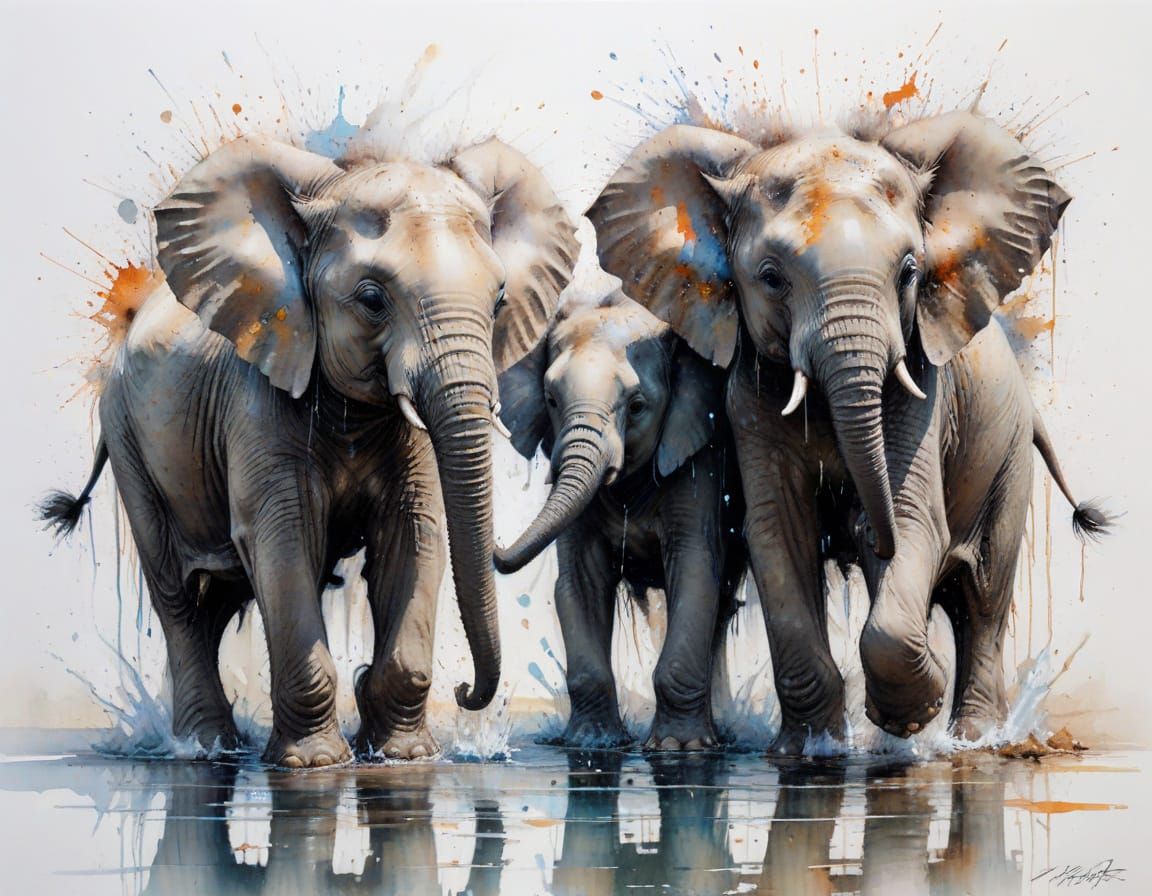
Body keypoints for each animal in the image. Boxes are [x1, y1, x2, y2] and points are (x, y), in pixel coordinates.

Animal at [41, 133, 577, 766]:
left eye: (498, 302)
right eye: (371, 300)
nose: (467, 690)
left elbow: (413, 533)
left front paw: (402, 756)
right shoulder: (257, 394)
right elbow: (284, 535)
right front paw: (315, 763)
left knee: (217, 598)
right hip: (127, 435)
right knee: (176, 594)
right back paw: (205, 748)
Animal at [494, 288, 746, 749]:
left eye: (638, 406)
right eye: (551, 400)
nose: (498, 546)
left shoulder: (699, 459)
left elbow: (694, 569)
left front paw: (677, 749)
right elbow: (579, 582)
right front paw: (591, 744)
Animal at [587, 111, 1111, 752]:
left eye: (910, 273)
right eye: (770, 279)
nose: (861, 523)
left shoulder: (926, 389)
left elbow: (915, 521)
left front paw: (907, 717)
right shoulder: (749, 400)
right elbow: (778, 534)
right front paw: (813, 749)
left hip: (1008, 456)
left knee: (984, 595)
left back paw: (976, 741)